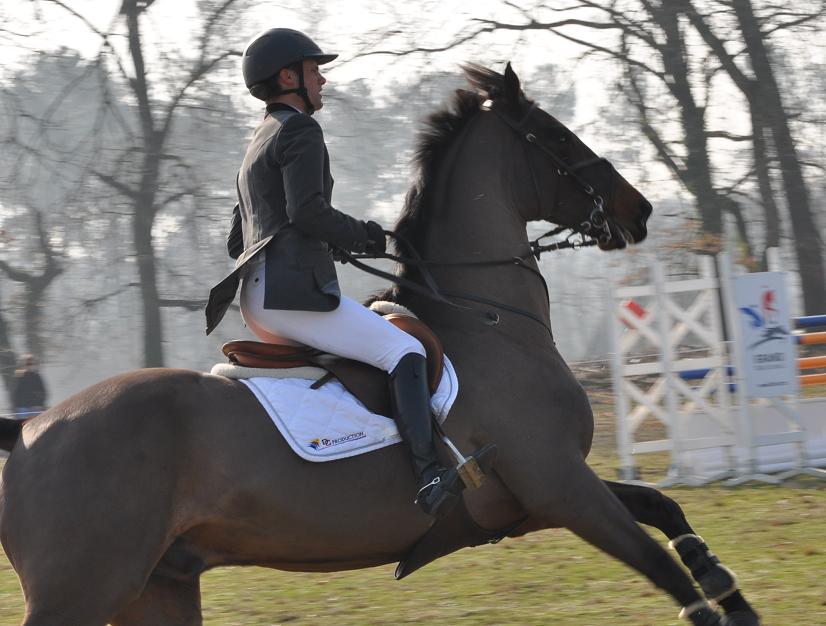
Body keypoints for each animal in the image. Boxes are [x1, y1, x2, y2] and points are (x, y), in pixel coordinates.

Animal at [1, 64, 760, 624]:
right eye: (556, 137)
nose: (640, 209)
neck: (489, 320)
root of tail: (31, 428)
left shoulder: (538, 496)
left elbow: (663, 507)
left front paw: (729, 588)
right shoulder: (561, 485)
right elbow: (658, 564)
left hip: (160, 584)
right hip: (85, 588)